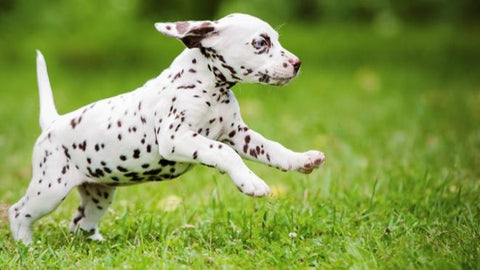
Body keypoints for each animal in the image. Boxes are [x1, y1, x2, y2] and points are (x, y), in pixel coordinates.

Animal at [8, 13, 326, 245]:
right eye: (261, 43)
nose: (297, 63)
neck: (208, 85)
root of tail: (53, 122)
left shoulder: (239, 135)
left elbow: (273, 149)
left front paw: (302, 160)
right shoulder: (177, 138)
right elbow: (222, 152)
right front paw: (252, 183)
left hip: (99, 193)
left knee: (79, 222)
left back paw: (95, 243)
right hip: (50, 189)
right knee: (17, 211)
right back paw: (26, 245)